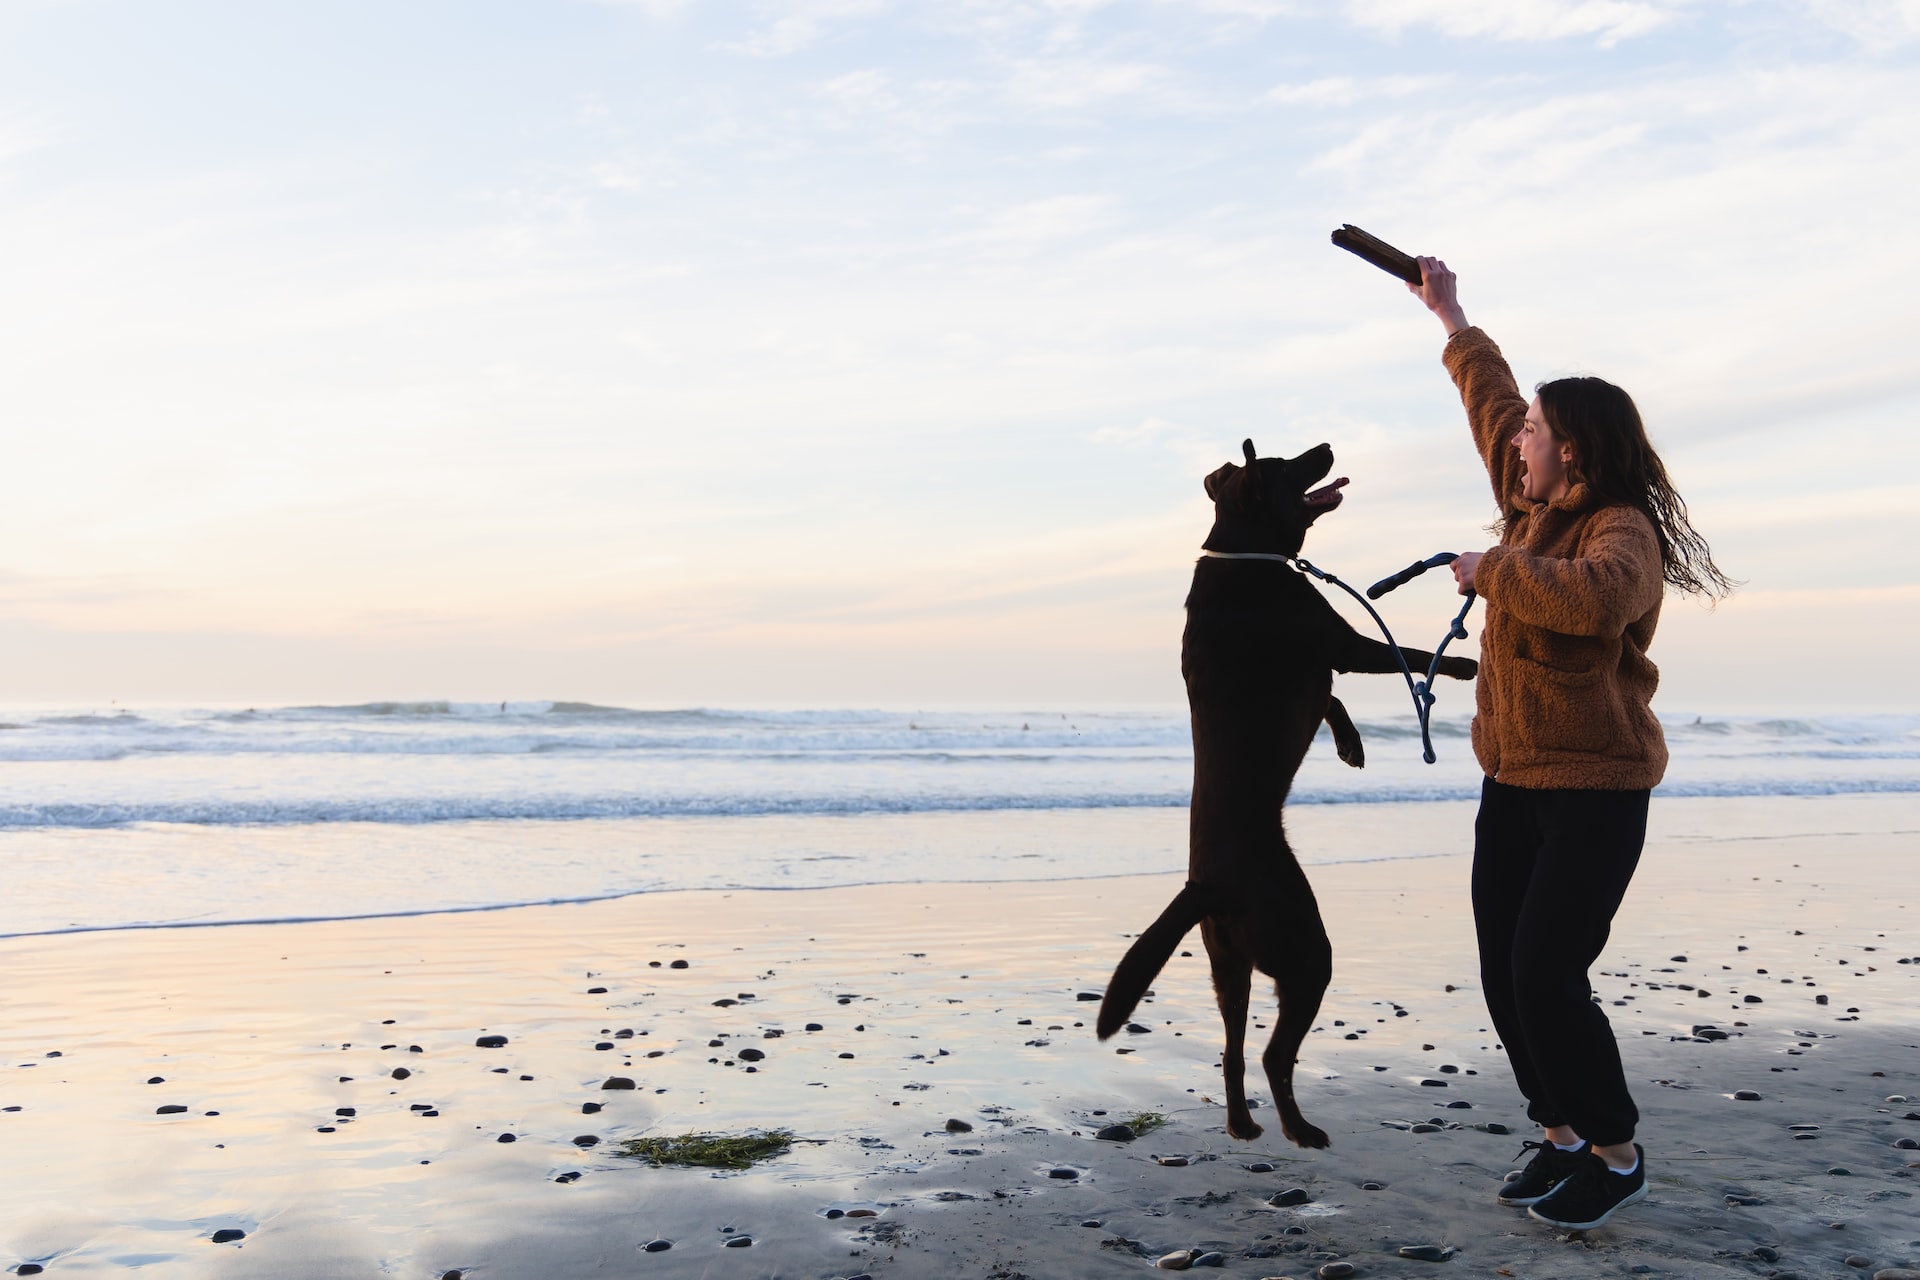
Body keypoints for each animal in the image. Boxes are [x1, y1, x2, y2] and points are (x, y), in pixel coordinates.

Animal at [1098, 441, 1482, 1151]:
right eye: (1283, 465)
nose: (1326, 447)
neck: (1246, 552)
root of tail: (1204, 887)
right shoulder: (1341, 643)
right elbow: (1408, 654)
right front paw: (1464, 665)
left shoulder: (1322, 665)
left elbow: (1331, 700)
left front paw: (1351, 743)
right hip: (1305, 950)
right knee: (1275, 1054)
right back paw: (1301, 1130)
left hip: (1230, 967)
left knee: (1233, 1051)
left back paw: (1245, 1124)